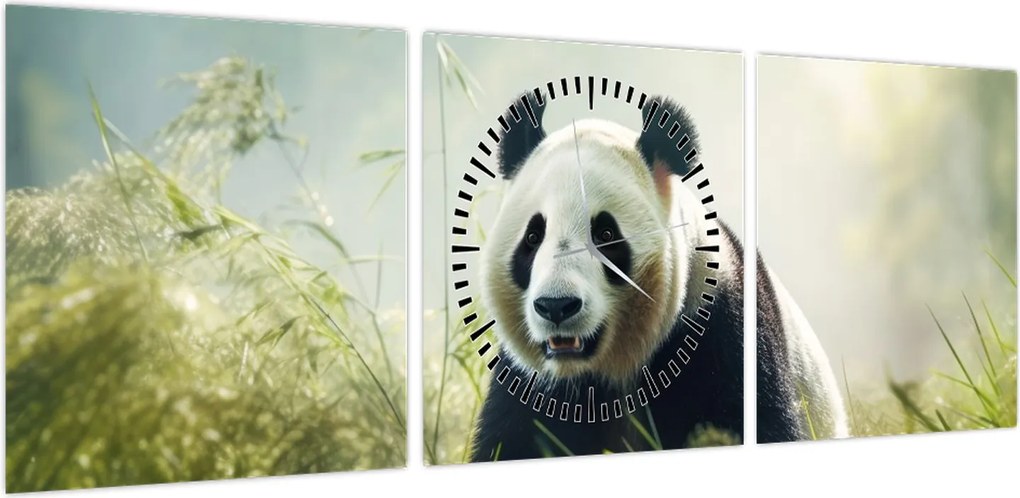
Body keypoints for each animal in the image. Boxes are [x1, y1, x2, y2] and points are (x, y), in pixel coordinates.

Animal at [471, 94, 848, 462]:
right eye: (533, 237)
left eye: (606, 234)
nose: (556, 306)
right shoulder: (533, 383)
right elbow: (514, 441)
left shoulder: (719, 332)